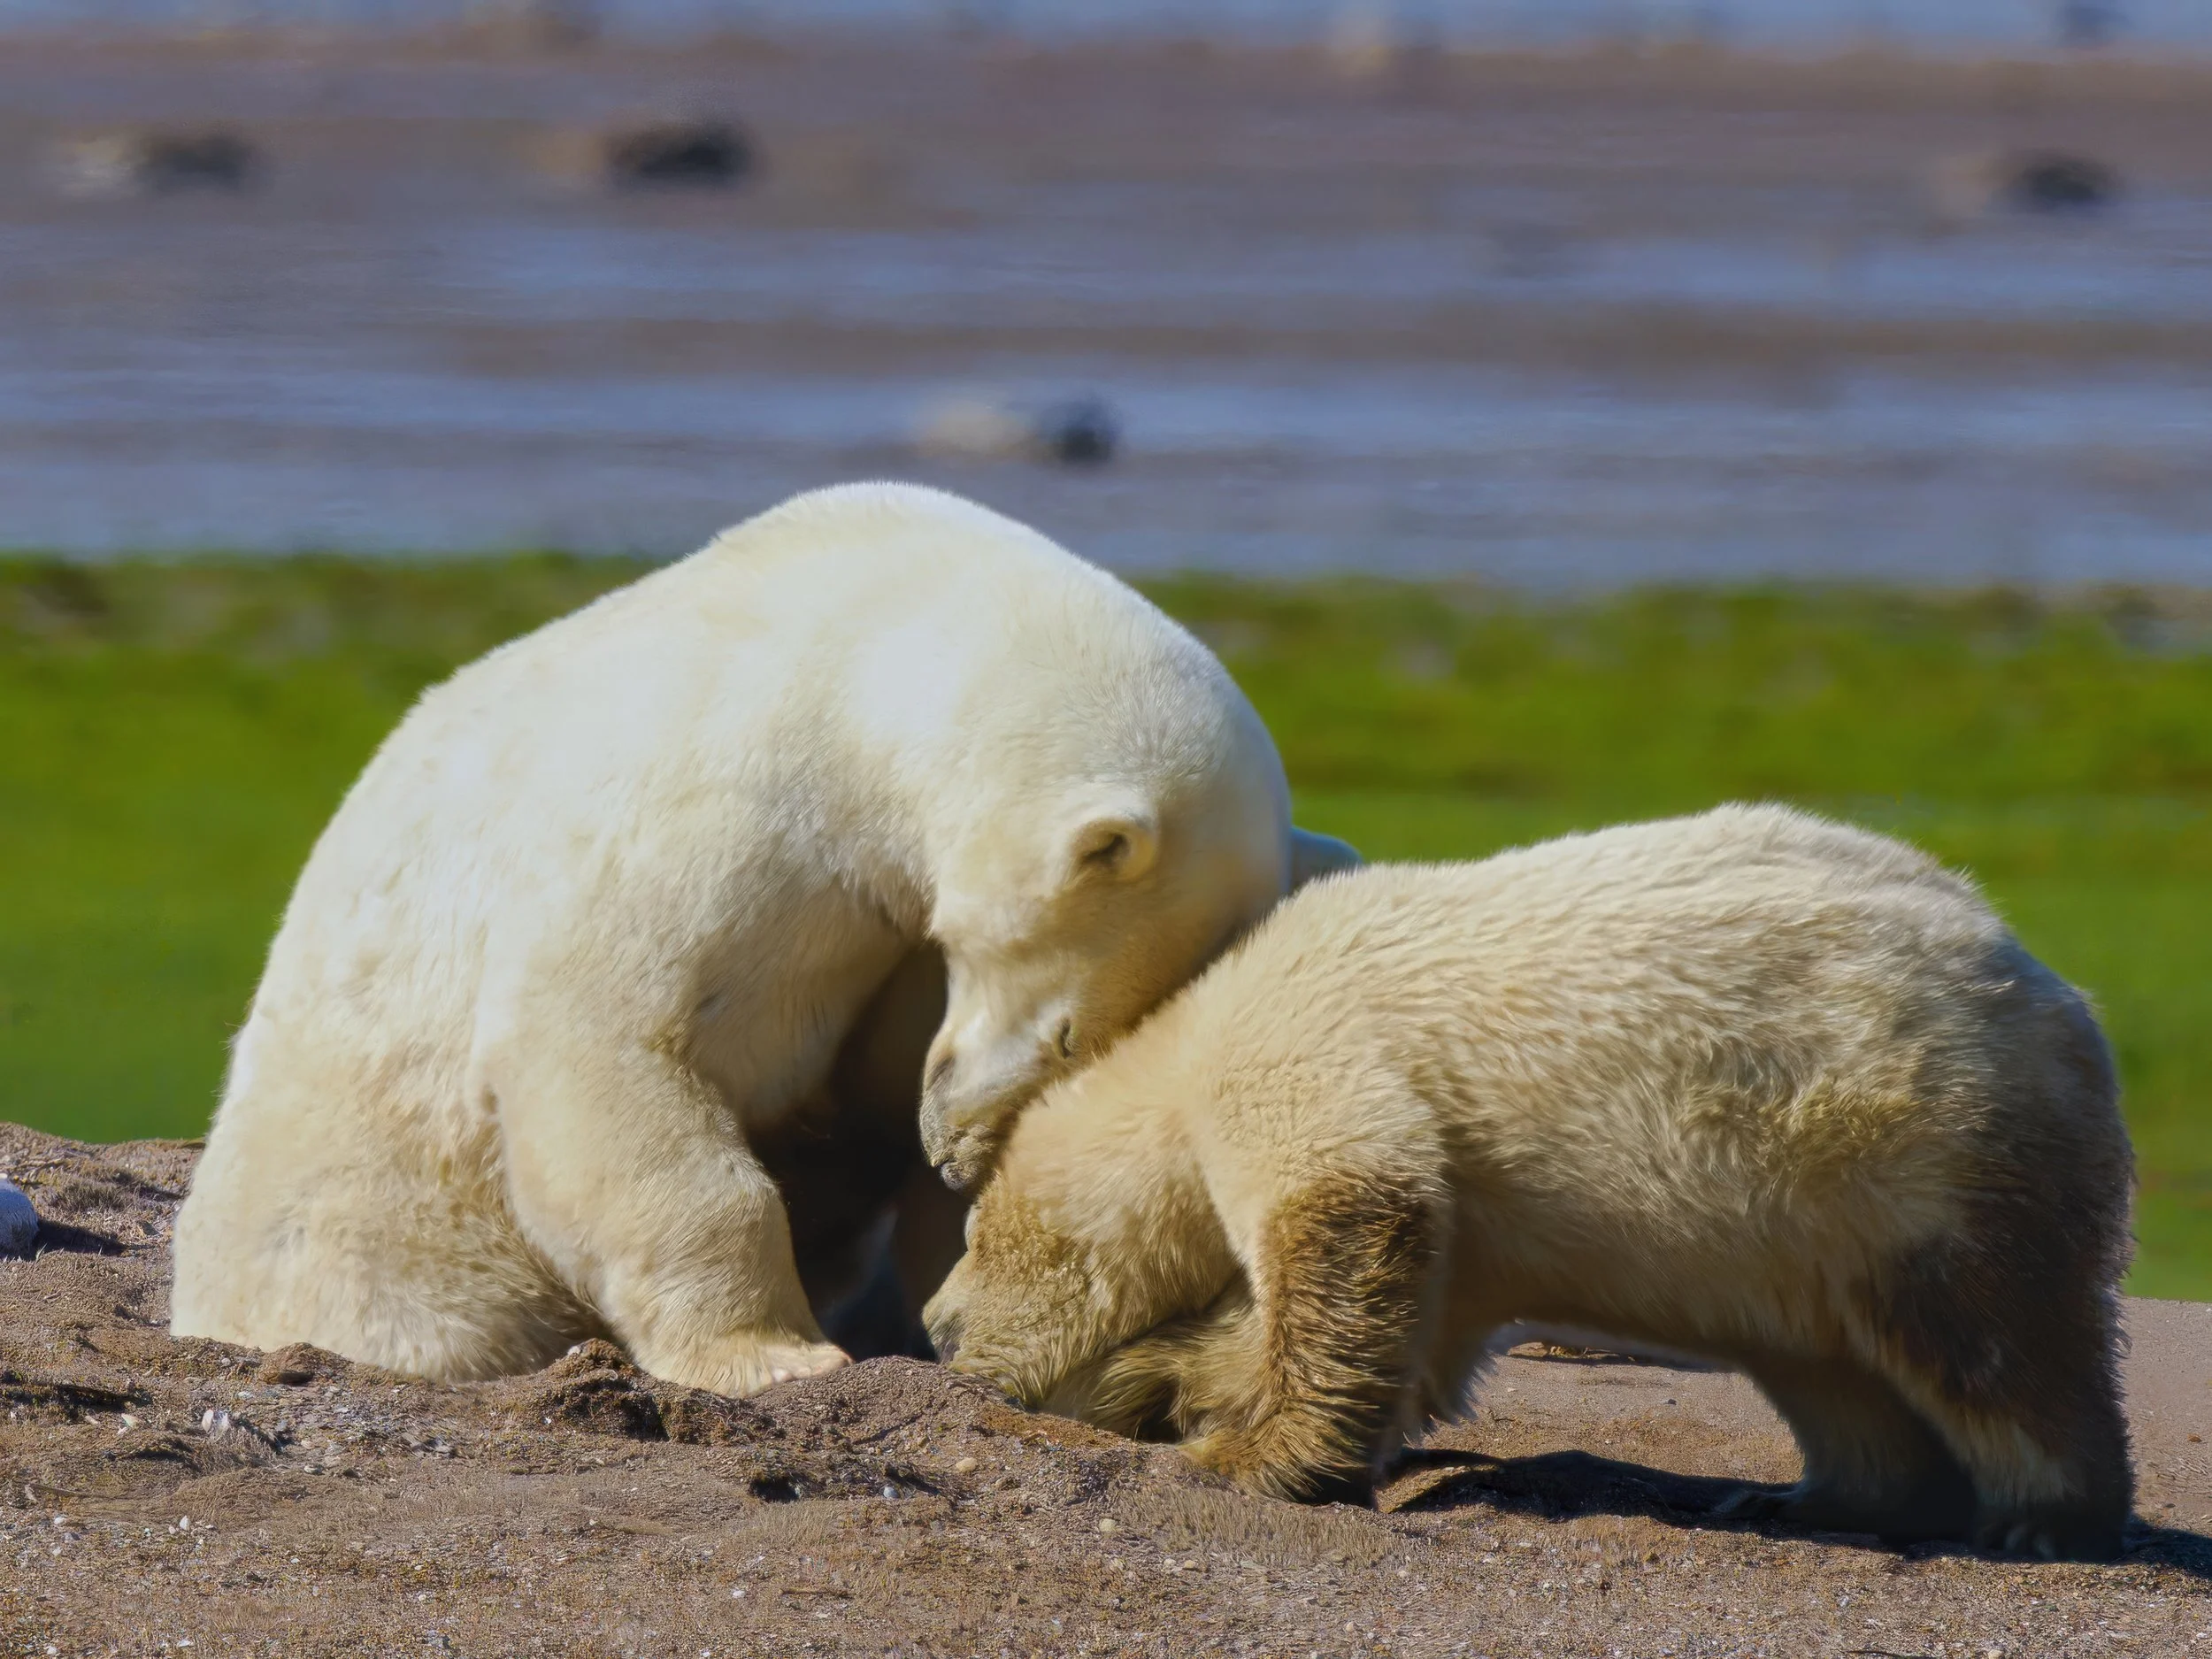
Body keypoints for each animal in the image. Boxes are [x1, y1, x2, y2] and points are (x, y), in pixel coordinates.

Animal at [171, 482, 1360, 1396]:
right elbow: (604, 1037)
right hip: (380, 1232)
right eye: (1072, 1034)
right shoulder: (736, 783)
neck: (873, 650)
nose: (961, 1153)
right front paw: (780, 1356)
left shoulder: (892, 940)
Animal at [925, 804, 2135, 1561]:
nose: (933, 1330)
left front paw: (1243, 1454)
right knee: (1823, 1365)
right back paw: (1804, 1496)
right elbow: (1405, 1327)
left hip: (1921, 1147)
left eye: (973, 1238)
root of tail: (2054, 992)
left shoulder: (1302, 1055)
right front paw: (1170, 1387)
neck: (1186, 1035)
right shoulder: (1467, 1228)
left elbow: (1344, 1222)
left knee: (1992, 1341)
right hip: (1808, 1223)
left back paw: (2044, 1516)